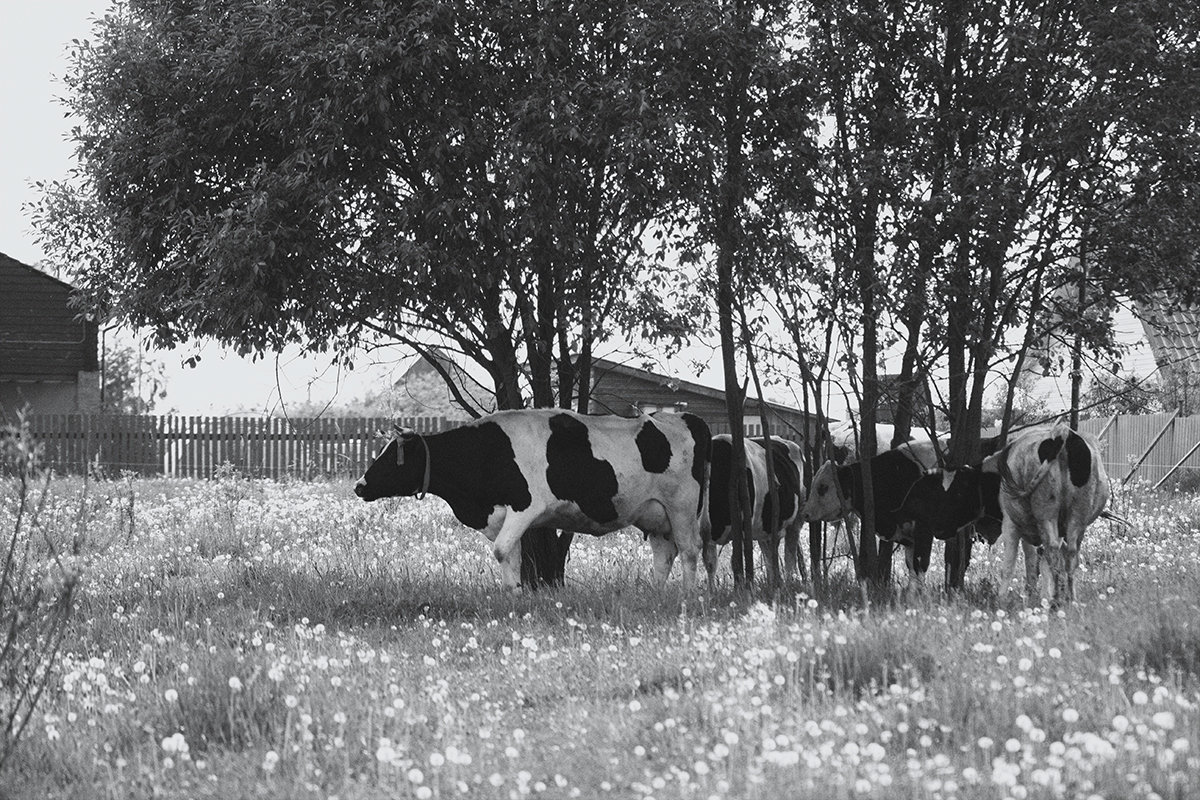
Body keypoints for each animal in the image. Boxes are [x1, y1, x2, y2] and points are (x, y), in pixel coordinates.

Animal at [355, 412, 710, 587]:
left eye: (392, 460)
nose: (359, 485)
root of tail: (686, 418)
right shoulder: (501, 516)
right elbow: (509, 556)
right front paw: (513, 596)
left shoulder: (525, 507)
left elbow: (501, 551)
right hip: (654, 514)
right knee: (664, 556)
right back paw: (658, 593)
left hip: (682, 506)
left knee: (690, 551)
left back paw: (688, 594)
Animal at [700, 434, 806, 585]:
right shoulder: (707, 533)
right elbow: (710, 564)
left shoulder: (742, 526)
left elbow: (736, 561)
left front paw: (742, 587)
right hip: (765, 526)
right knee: (770, 554)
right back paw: (774, 583)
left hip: (798, 517)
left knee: (789, 554)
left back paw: (790, 581)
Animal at [984, 424, 1104, 606]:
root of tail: (1062, 432)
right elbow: (1040, 564)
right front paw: (1041, 595)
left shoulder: (1011, 524)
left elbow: (1013, 564)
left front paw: (1003, 598)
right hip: (1078, 514)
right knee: (1069, 554)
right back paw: (1070, 599)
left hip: (1046, 511)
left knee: (1052, 551)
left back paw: (1056, 599)